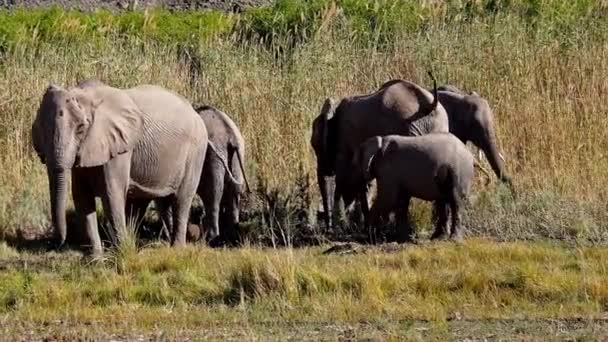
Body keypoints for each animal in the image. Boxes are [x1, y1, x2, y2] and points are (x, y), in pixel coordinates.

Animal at [32, 79, 208, 256]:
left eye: (81, 128)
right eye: (40, 127)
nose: (54, 244)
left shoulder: (119, 149)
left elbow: (111, 195)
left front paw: (122, 253)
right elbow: (82, 197)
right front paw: (96, 258)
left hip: (196, 151)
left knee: (181, 199)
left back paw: (177, 250)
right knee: (155, 201)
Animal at [312, 73, 448, 231]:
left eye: (316, 146)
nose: (327, 228)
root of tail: (428, 104)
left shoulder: (345, 141)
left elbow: (345, 178)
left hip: (404, 129)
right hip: (438, 126)